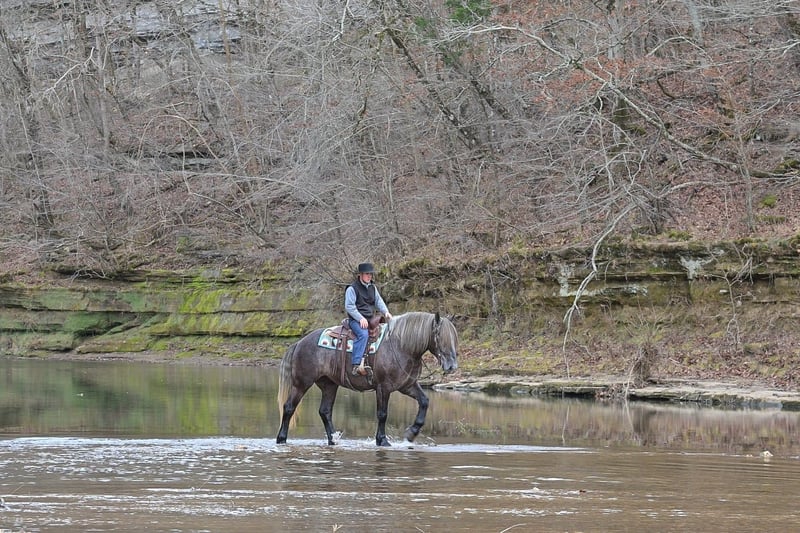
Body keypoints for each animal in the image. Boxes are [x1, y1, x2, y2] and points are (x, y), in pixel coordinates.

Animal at [276, 311, 458, 447]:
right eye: (440, 337)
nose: (452, 366)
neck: (401, 345)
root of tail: (300, 342)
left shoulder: (407, 385)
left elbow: (425, 401)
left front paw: (411, 434)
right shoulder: (383, 388)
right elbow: (382, 414)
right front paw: (382, 440)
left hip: (329, 385)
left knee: (324, 411)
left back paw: (333, 439)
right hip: (301, 383)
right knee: (289, 407)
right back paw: (281, 438)